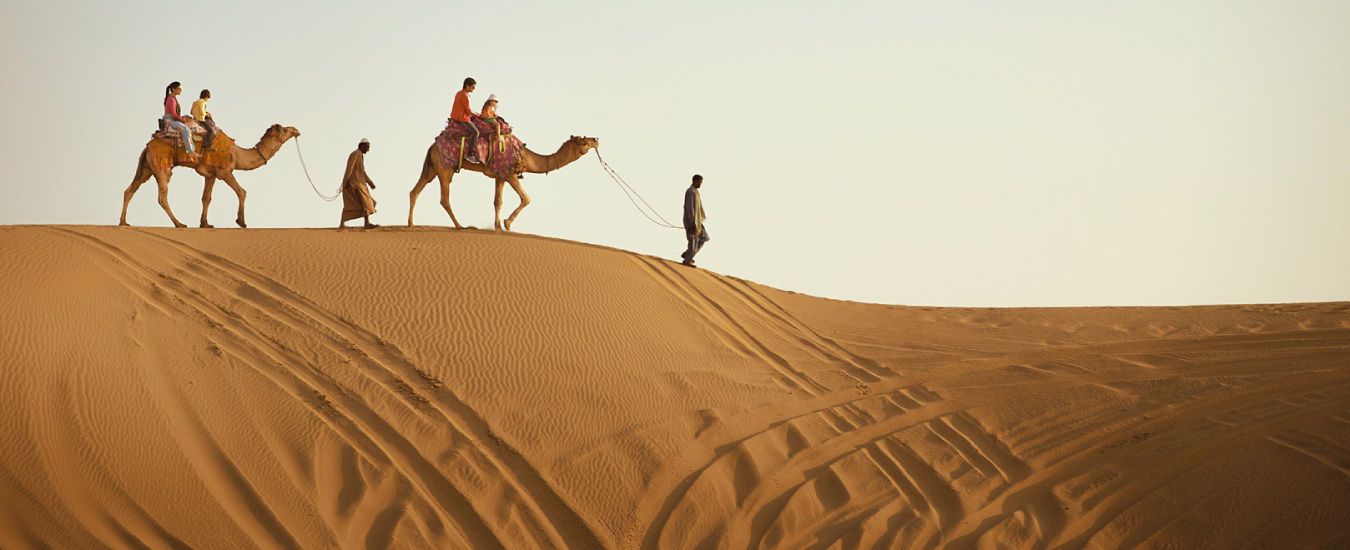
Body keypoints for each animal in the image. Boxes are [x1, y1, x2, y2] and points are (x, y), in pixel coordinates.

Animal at [120, 124, 301, 228]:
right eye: (285, 130)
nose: (296, 130)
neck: (237, 154)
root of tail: (147, 147)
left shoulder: (211, 175)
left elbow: (206, 198)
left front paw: (205, 224)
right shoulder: (225, 171)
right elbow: (242, 191)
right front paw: (241, 222)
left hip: (146, 168)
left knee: (130, 190)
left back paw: (123, 222)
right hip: (162, 168)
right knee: (162, 197)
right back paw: (180, 224)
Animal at [408, 135, 599, 230]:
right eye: (584, 141)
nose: (596, 140)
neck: (525, 156)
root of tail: (432, 146)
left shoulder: (499, 177)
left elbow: (497, 202)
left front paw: (498, 227)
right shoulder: (509, 174)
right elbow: (527, 198)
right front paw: (507, 224)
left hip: (431, 168)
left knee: (415, 190)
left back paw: (411, 224)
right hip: (445, 169)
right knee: (444, 199)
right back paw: (461, 226)